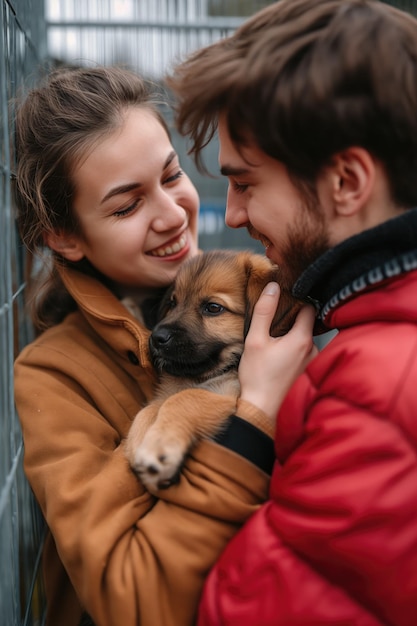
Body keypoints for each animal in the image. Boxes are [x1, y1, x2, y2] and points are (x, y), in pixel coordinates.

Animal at [124, 247, 302, 488]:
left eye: (213, 308)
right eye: (172, 303)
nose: (157, 338)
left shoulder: (228, 393)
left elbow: (185, 399)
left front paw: (158, 447)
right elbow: (149, 409)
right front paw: (137, 443)